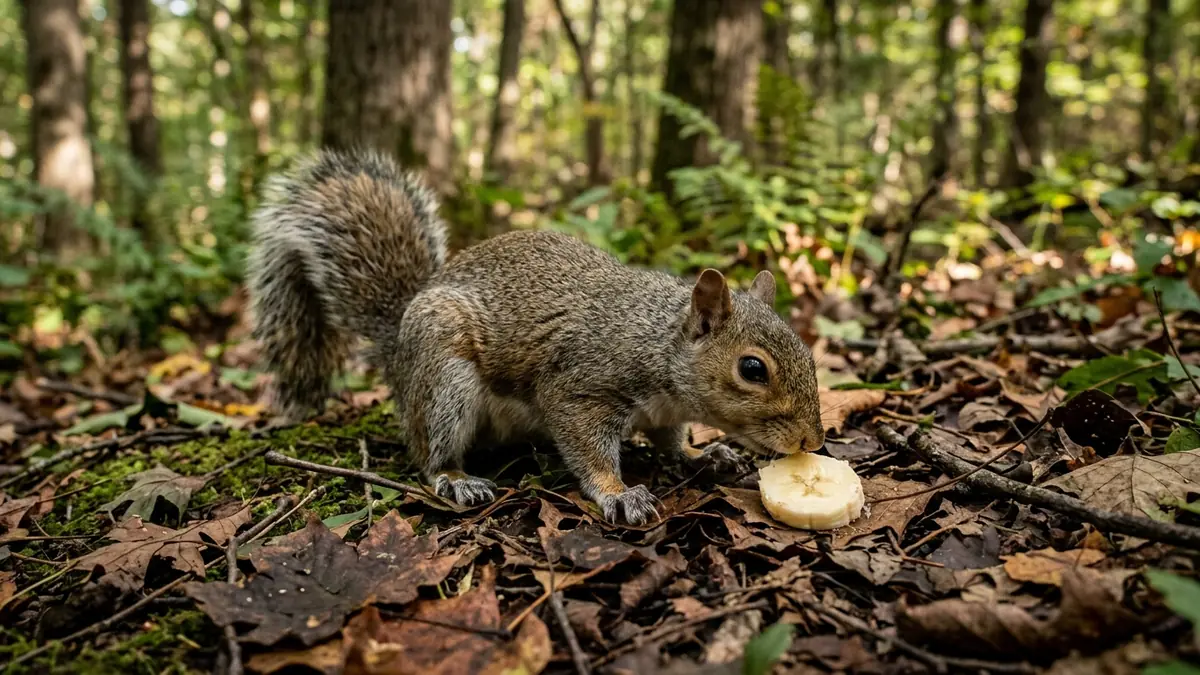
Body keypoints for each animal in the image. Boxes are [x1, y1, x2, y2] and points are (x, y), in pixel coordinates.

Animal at [246, 148, 825, 525]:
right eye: (752, 369)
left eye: (809, 354)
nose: (813, 442)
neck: (657, 340)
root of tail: (399, 349)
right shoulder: (578, 388)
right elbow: (588, 448)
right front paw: (619, 493)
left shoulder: (665, 412)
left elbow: (671, 442)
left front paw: (703, 455)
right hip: (445, 382)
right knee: (427, 453)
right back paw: (455, 478)